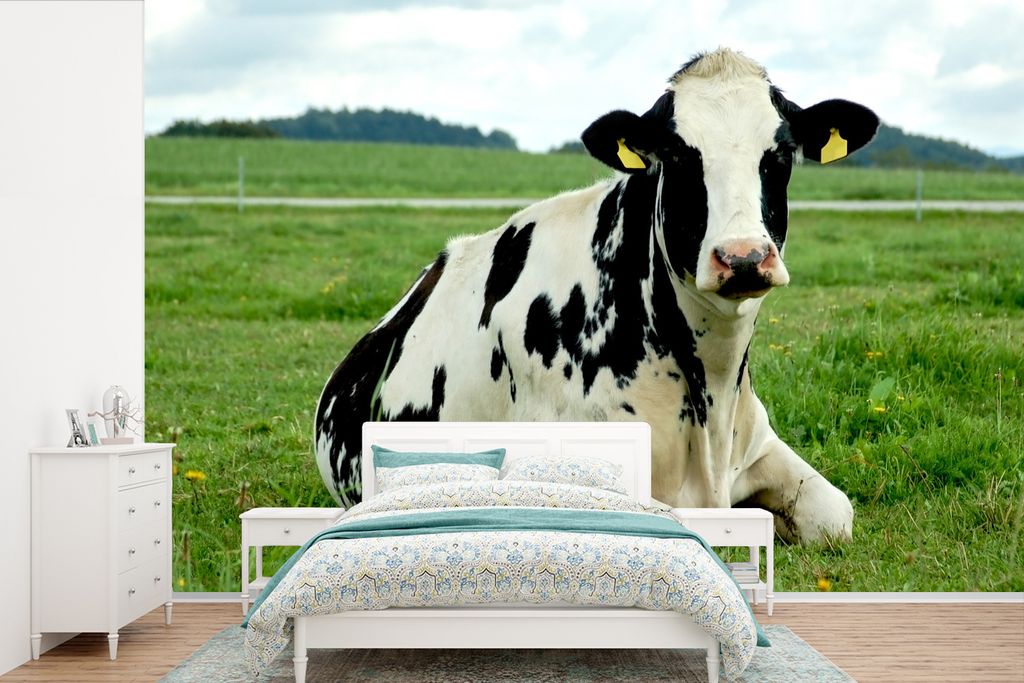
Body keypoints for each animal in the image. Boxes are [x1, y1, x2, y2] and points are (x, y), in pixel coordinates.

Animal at [314, 48, 879, 543]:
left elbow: (835, 514)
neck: (712, 393)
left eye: (780, 154)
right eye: (677, 155)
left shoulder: (758, 445)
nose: (742, 257)